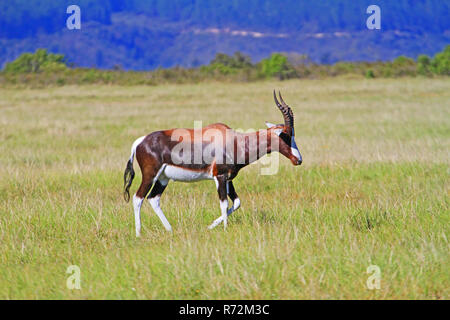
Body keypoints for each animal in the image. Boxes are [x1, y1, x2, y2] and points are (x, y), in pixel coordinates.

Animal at [123, 91, 302, 236]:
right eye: (286, 135)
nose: (298, 160)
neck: (234, 140)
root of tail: (140, 141)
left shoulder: (229, 179)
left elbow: (236, 203)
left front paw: (210, 226)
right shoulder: (220, 177)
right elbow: (224, 203)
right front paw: (225, 229)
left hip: (163, 179)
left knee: (153, 198)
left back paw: (170, 230)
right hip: (150, 176)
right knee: (138, 198)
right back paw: (138, 233)